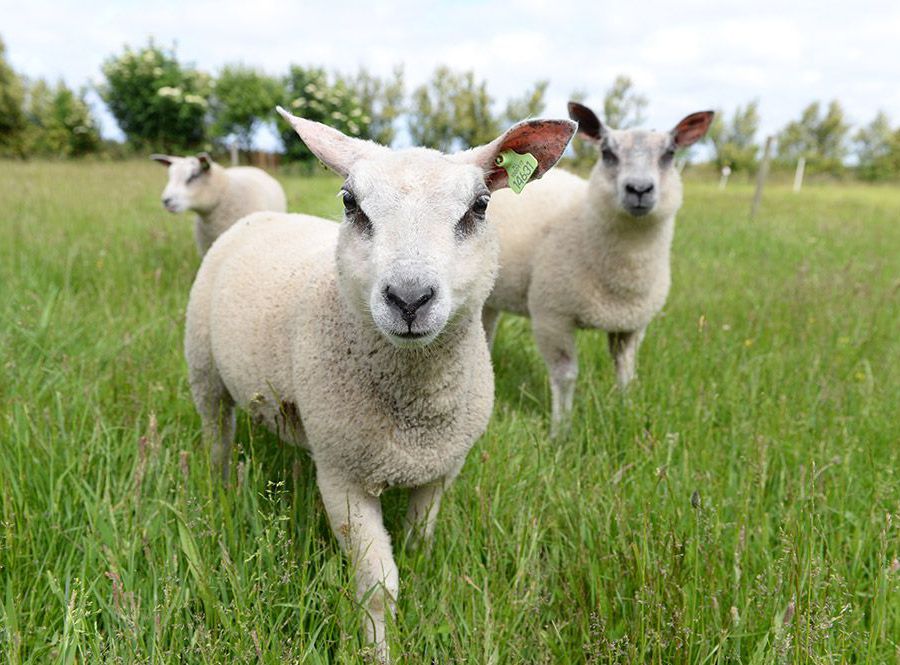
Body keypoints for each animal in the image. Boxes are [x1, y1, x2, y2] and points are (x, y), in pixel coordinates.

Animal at [185, 107, 576, 660]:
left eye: (479, 206)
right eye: (351, 203)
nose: (409, 298)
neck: (417, 409)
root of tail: (259, 216)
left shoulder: (442, 466)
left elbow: (418, 541)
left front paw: (416, 560)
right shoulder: (343, 477)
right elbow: (377, 587)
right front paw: (378, 651)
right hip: (203, 369)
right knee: (216, 435)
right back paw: (219, 483)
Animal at [482, 102, 712, 436]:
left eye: (669, 153)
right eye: (607, 152)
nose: (639, 189)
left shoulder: (632, 325)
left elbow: (626, 372)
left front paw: (626, 409)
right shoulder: (552, 315)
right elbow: (565, 376)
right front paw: (560, 431)